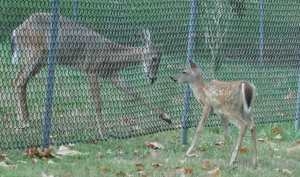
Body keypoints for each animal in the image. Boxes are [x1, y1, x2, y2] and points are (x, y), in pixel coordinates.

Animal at [11, 12, 171, 137]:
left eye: (161, 58)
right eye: (154, 58)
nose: (152, 78)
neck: (111, 56)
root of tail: (16, 30)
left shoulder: (112, 75)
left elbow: (135, 92)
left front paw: (166, 117)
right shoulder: (91, 69)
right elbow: (98, 103)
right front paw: (103, 133)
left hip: (41, 60)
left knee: (22, 81)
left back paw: (27, 119)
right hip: (33, 52)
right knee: (18, 80)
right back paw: (23, 121)